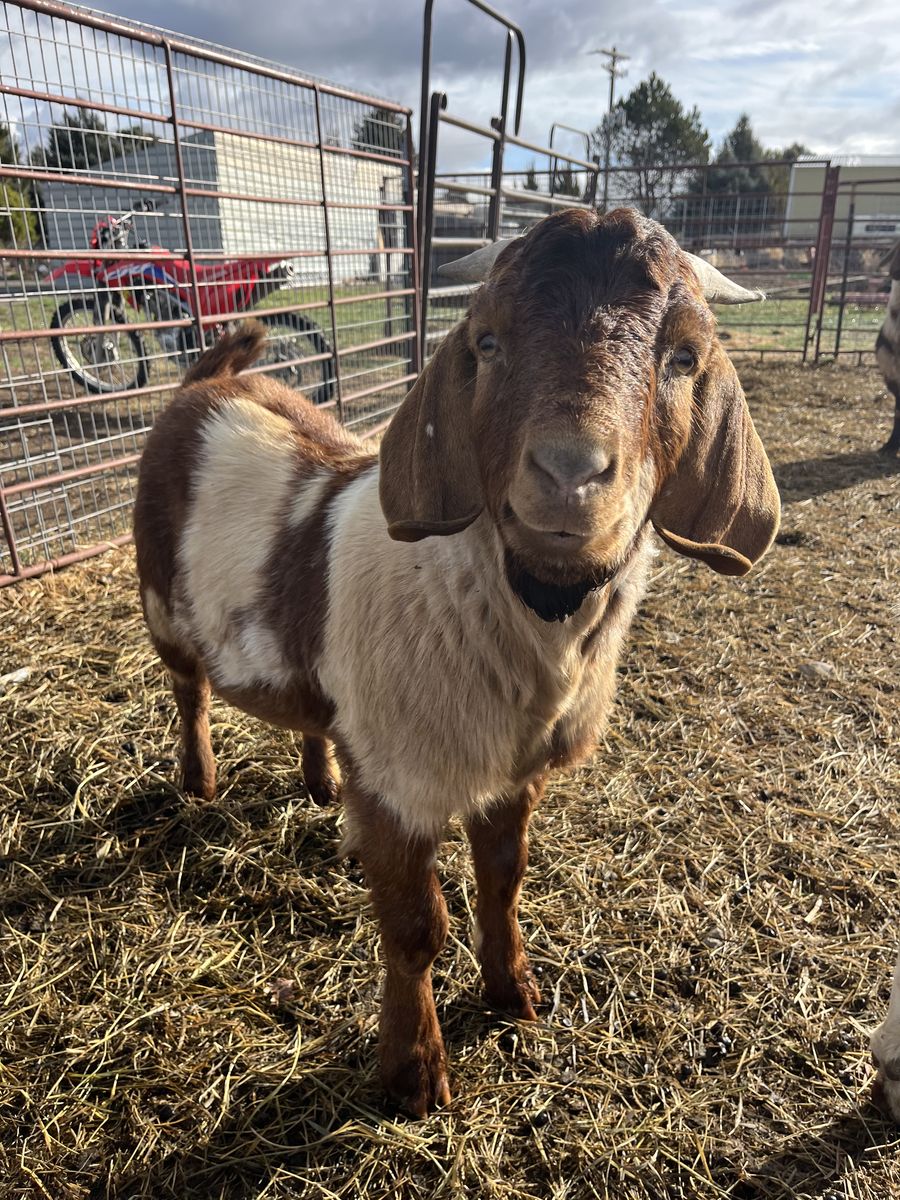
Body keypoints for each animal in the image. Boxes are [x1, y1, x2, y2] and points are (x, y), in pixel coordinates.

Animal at [134, 207, 780, 1118]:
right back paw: (198, 782)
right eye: (486, 341)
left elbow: (503, 881)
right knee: (187, 691)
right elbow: (415, 930)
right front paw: (415, 1071)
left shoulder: (514, 773)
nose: (569, 473)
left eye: (685, 356)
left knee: (311, 714)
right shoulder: (400, 781)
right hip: (161, 600)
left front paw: (514, 994)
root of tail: (206, 384)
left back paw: (321, 782)